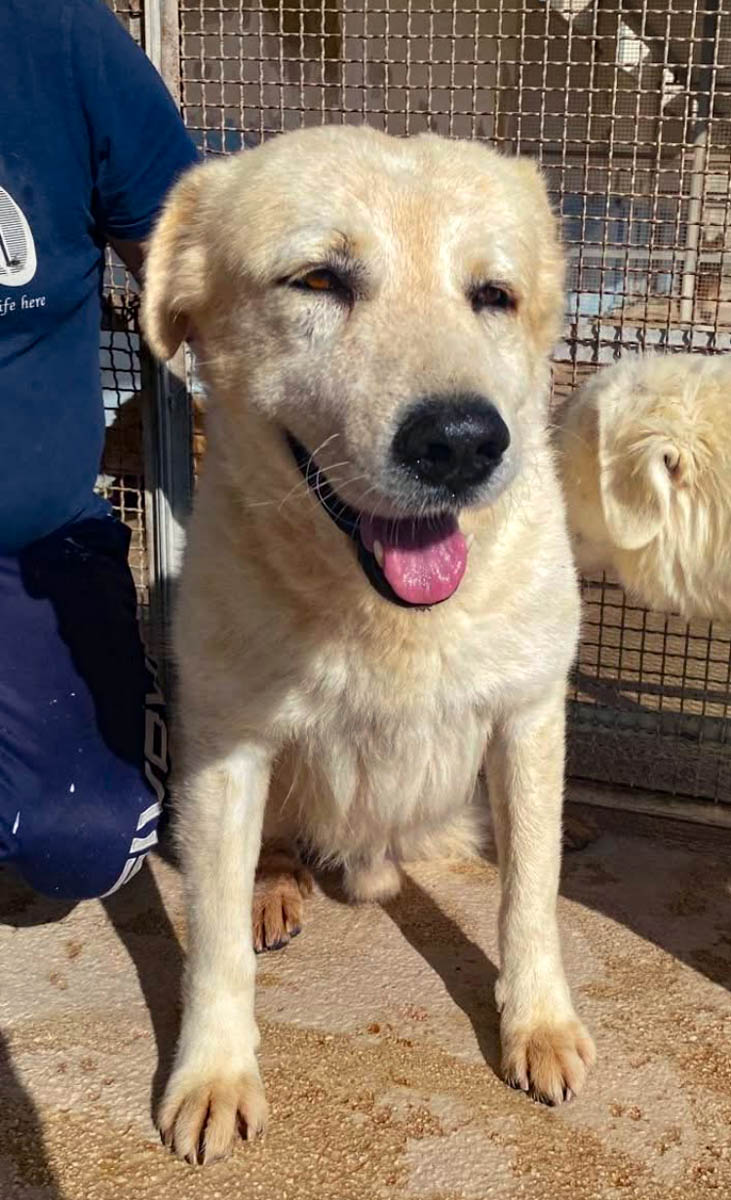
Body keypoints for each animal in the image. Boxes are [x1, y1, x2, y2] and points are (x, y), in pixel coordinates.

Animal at [141, 124, 595, 1164]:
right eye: (319, 279)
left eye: (492, 294)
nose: (461, 441)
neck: (388, 623)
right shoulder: (224, 753)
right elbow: (211, 946)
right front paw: (212, 1072)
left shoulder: (527, 717)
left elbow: (531, 897)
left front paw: (536, 1023)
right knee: (265, 854)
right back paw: (274, 884)